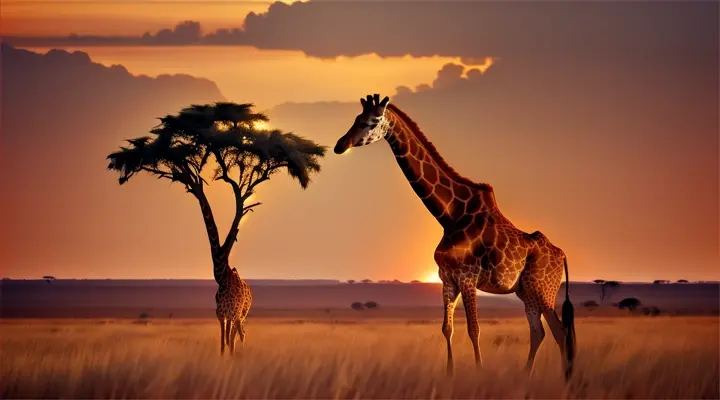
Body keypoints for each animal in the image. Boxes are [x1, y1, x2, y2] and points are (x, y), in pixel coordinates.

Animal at [197, 192, 253, 354]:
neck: (222, 278)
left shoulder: (231, 314)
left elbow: (228, 340)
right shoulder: (221, 315)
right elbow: (223, 342)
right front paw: (224, 357)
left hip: (241, 314)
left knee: (240, 334)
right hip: (236, 316)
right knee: (238, 334)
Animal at [334, 93, 576, 378]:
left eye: (371, 122)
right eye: (356, 118)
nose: (340, 145)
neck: (449, 216)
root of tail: (562, 255)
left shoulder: (467, 277)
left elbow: (474, 329)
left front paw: (479, 373)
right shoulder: (447, 279)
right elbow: (446, 329)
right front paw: (450, 375)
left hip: (542, 289)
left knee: (559, 332)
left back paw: (563, 380)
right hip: (525, 292)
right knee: (538, 332)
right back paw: (526, 376)